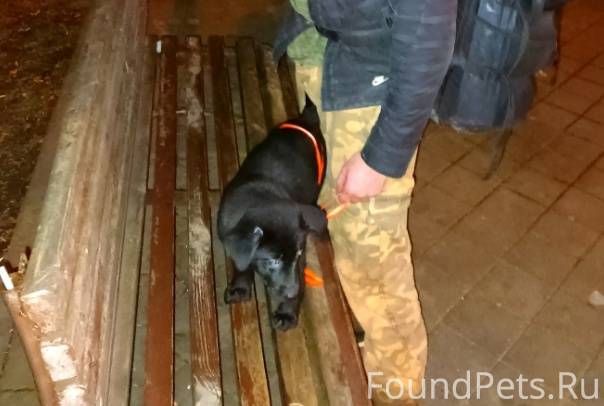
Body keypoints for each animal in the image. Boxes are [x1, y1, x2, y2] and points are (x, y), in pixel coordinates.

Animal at [218, 96, 327, 331]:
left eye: (298, 254)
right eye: (273, 261)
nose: (293, 292)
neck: (260, 196)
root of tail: (305, 120)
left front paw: (287, 313)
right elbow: (242, 265)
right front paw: (240, 287)